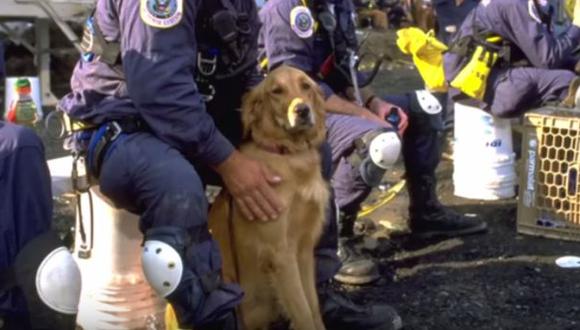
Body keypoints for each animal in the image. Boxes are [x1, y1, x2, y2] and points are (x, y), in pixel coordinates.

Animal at [208, 65, 328, 330]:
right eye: (276, 91)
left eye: (305, 85)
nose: (302, 110)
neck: (289, 155)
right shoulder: (281, 253)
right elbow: (304, 313)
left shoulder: (304, 249)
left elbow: (314, 308)